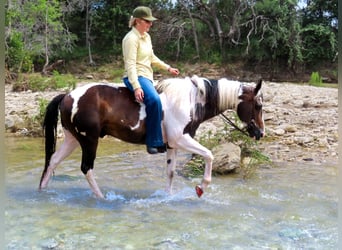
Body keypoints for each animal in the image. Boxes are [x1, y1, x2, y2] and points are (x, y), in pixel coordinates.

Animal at [39, 75, 264, 198]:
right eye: (258, 105)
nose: (261, 133)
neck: (191, 100)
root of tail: (67, 96)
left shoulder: (172, 145)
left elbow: (170, 173)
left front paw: (168, 197)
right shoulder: (181, 139)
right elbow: (209, 155)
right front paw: (201, 187)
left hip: (72, 139)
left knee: (53, 161)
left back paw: (43, 192)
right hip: (89, 140)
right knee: (87, 168)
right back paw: (102, 198)